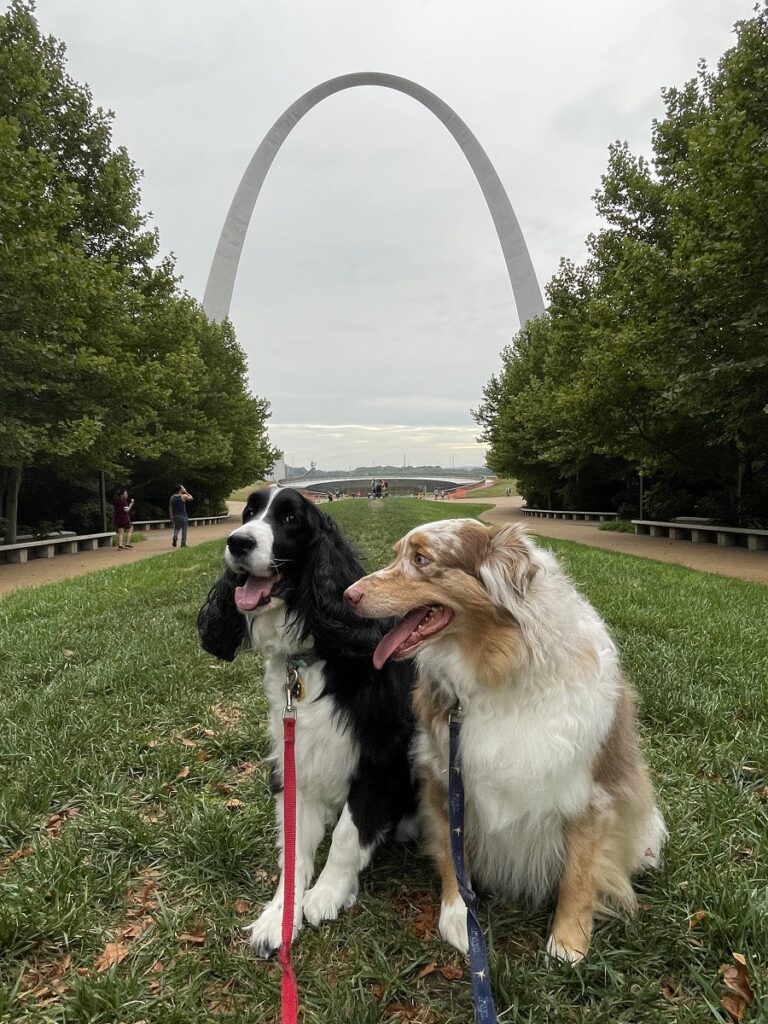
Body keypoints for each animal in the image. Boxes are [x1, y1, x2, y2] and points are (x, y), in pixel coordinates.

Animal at [195, 483, 417, 954]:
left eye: (291, 520)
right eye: (248, 512)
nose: (237, 542)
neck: (311, 658)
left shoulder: (379, 755)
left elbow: (349, 833)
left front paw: (328, 893)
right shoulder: (297, 759)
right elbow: (294, 848)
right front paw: (278, 917)